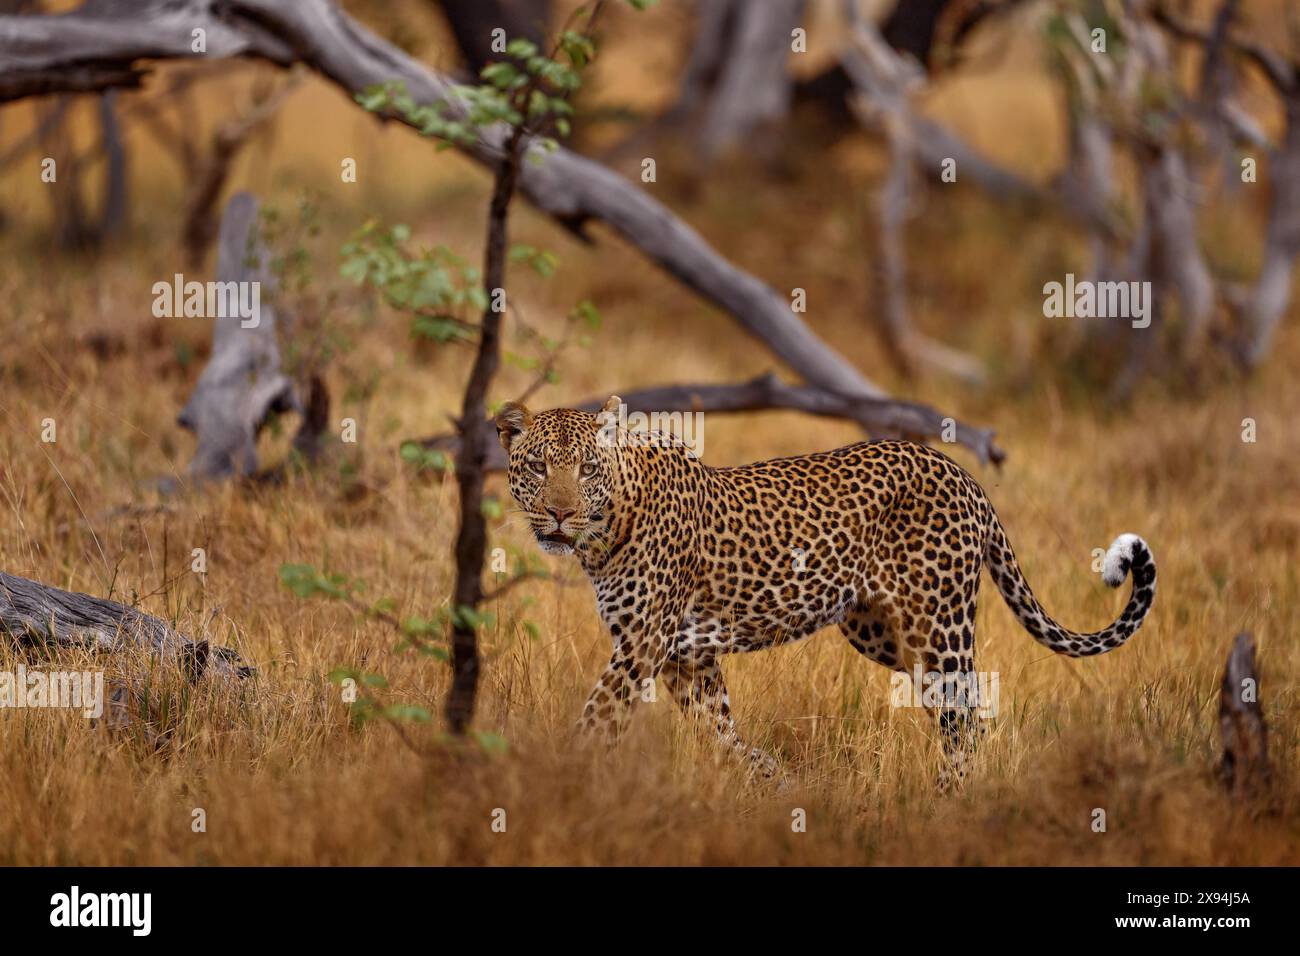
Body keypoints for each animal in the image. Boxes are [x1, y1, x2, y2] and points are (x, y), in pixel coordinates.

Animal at [495, 395, 1157, 785]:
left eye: (586, 469)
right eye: (537, 467)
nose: (559, 514)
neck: (605, 529)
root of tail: (959, 472)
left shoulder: (643, 645)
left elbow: (596, 720)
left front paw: (551, 784)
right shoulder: (688, 656)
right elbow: (720, 730)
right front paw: (768, 781)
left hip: (937, 627)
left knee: (964, 718)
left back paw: (954, 805)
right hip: (881, 633)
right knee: (974, 709)